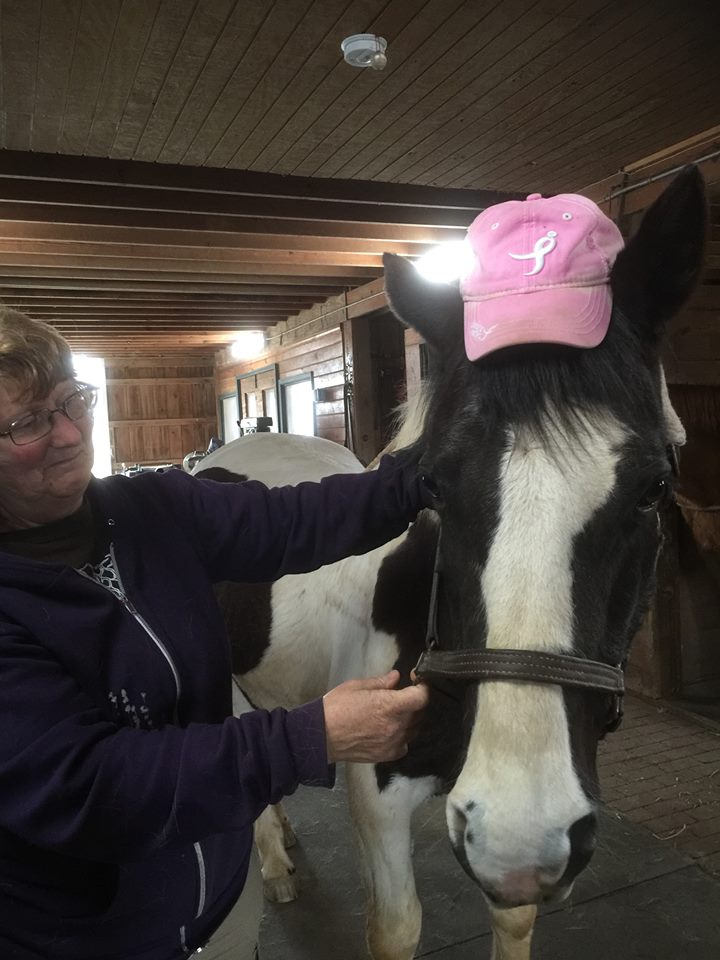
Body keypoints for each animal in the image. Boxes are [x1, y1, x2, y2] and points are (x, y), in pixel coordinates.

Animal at [197, 169, 708, 956]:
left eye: (655, 487)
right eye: (433, 482)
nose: (517, 835)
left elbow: (514, 914)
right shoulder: (375, 795)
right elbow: (398, 925)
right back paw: (275, 864)